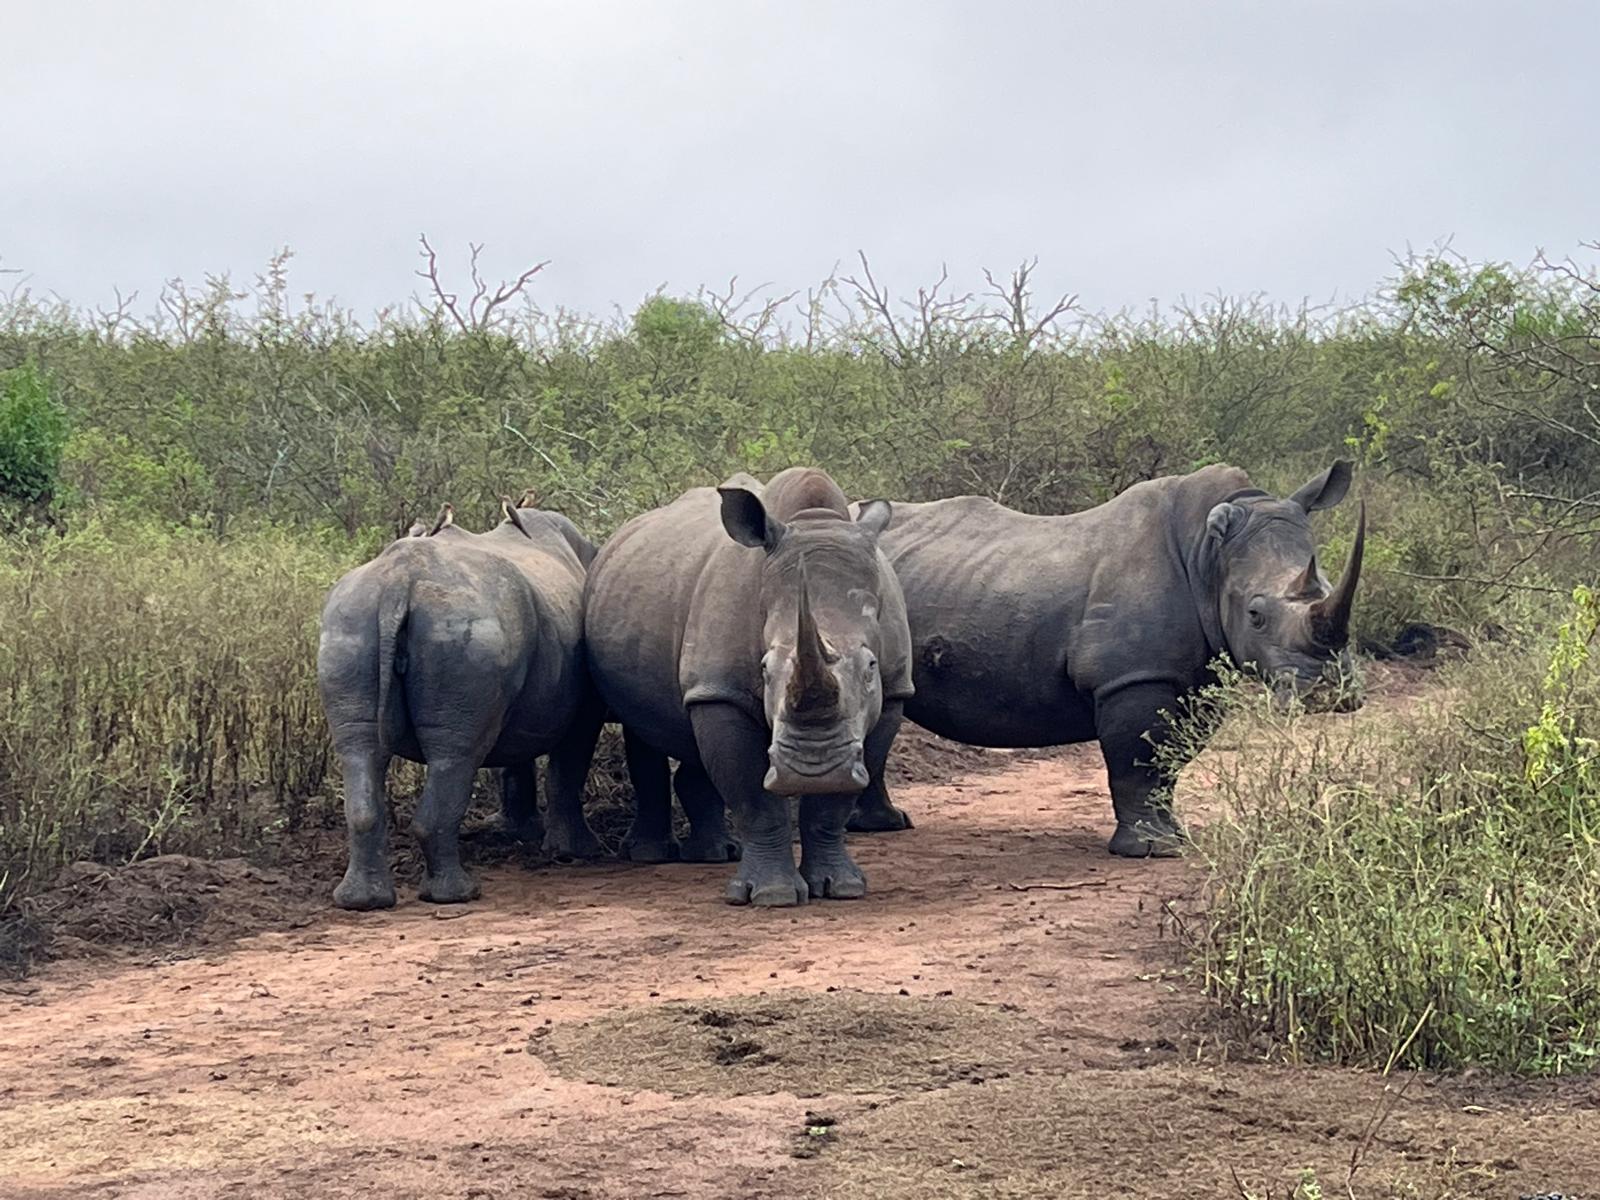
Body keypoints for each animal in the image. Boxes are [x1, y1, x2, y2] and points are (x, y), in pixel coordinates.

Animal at [317, 499, 604, 909]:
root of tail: (398, 585)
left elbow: (515, 757)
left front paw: (522, 832)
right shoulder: (584, 708)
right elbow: (568, 765)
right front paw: (574, 852)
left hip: (350, 622)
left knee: (362, 747)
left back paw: (362, 901)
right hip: (462, 626)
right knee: (456, 751)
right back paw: (459, 894)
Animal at [584, 467, 914, 906]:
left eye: (871, 667)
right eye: (765, 669)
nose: (813, 771)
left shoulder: (893, 691)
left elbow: (834, 807)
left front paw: (841, 887)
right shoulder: (723, 691)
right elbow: (753, 799)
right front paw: (772, 896)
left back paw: (714, 855)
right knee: (642, 728)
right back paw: (651, 855)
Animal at [849, 461, 1365, 856]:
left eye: (1326, 587)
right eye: (1256, 615)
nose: (1331, 696)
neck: (1207, 557)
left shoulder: (1193, 676)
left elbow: (1169, 763)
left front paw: (1175, 840)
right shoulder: (1132, 676)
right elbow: (1138, 759)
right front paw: (1152, 851)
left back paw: (886, 824)